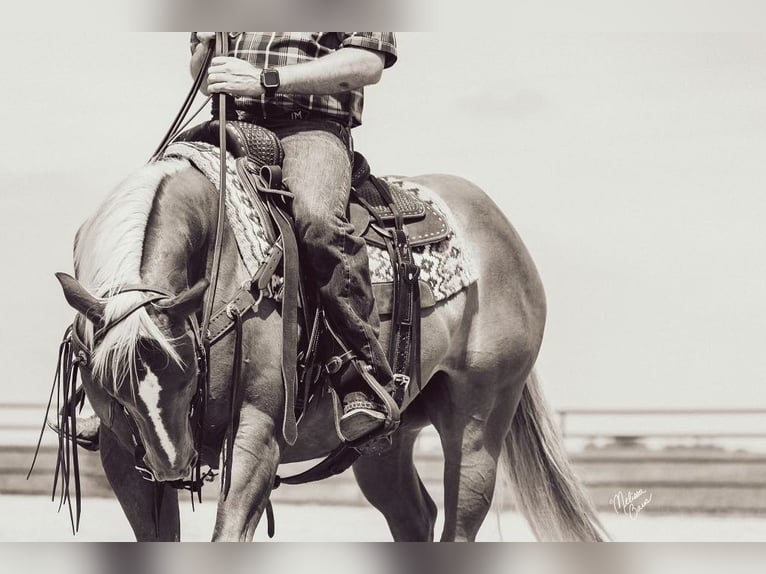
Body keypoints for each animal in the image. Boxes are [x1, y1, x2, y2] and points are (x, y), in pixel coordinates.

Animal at [55, 159, 608, 544]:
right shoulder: (122, 453)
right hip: (387, 443)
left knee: (459, 522)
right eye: (113, 392)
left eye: (188, 371)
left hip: (478, 424)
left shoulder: (258, 432)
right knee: (415, 518)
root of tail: (502, 231)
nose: (172, 465)